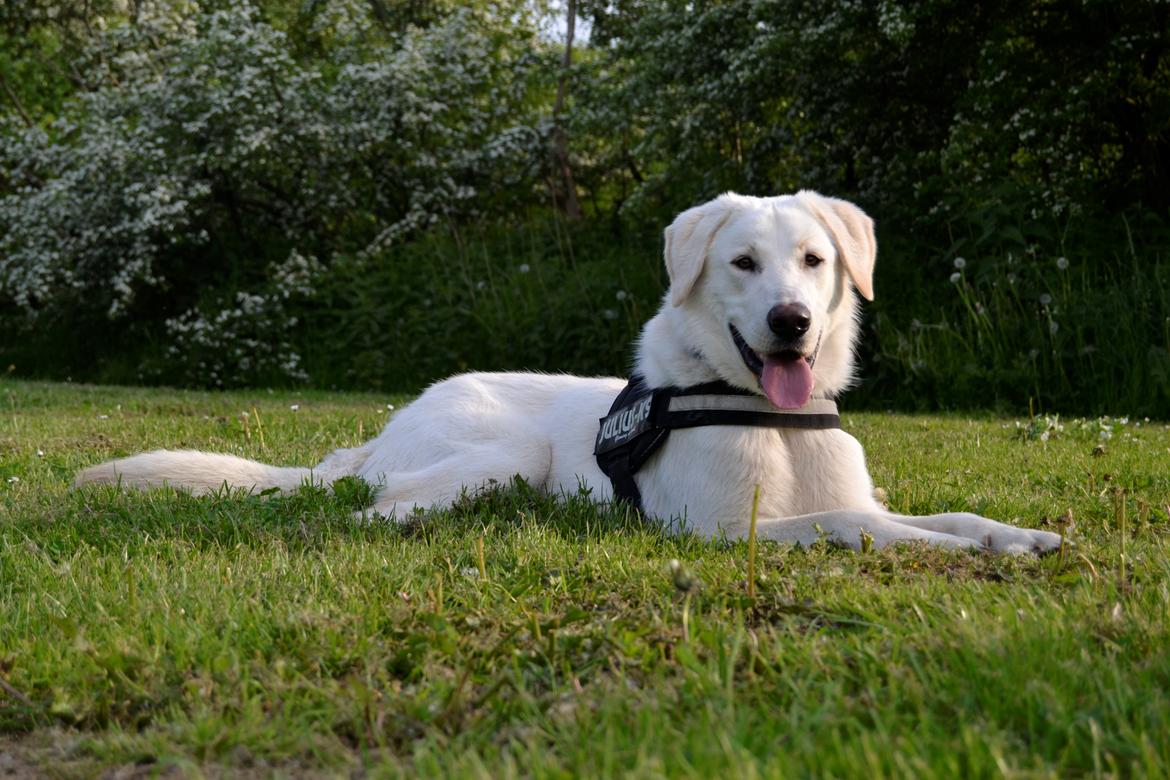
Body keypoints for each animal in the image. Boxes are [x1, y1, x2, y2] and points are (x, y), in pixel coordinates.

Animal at [70, 191, 1062, 551]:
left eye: (815, 261)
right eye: (743, 263)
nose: (792, 323)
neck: (767, 414)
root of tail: (384, 427)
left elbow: (928, 515)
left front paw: (1011, 535)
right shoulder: (720, 532)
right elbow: (860, 527)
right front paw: (958, 552)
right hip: (500, 457)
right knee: (370, 510)